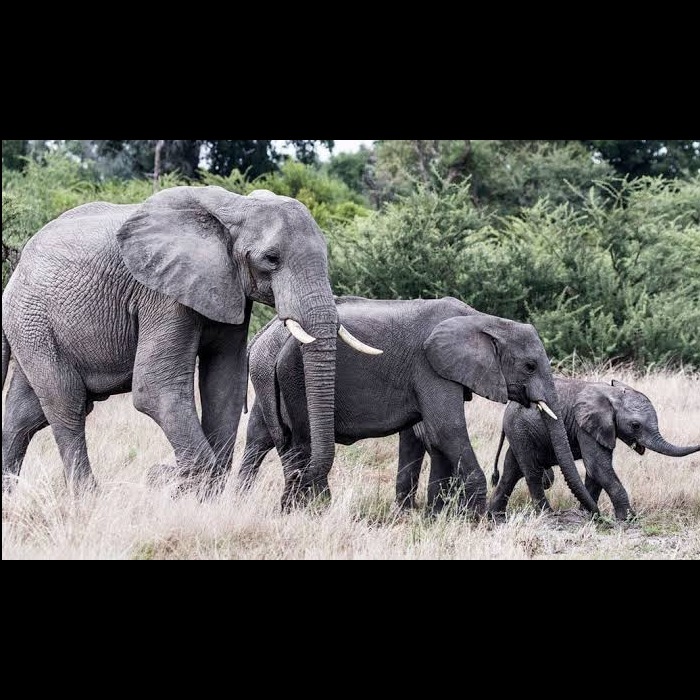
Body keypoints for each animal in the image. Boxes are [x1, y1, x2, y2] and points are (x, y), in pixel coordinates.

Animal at [1, 186, 379, 497]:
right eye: (271, 259)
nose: (305, 479)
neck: (237, 208)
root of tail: (15, 273)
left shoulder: (228, 288)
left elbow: (225, 385)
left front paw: (194, 494)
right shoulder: (160, 293)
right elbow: (156, 387)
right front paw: (173, 481)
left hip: (32, 326)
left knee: (26, 413)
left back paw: (9, 499)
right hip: (34, 319)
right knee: (66, 402)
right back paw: (88, 499)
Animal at [238, 295, 600, 516]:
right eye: (529, 366)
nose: (594, 515)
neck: (483, 321)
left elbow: (425, 437)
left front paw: (430, 516)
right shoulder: (429, 367)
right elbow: (446, 431)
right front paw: (474, 520)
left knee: (265, 439)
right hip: (295, 377)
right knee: (301, 444)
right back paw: (307, 508)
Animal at [489, 377, 700, 520]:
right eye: (635, 425)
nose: (599, 516)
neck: (613, 394)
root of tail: (508, 407)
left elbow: (595, 472)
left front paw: (585, 515)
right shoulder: (587, 425)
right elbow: (598, 466)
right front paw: (628, 519)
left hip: (520, 431)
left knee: (511, 470)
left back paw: (495, 517)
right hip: (521, 429)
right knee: (531, 471)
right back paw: (547, 516)